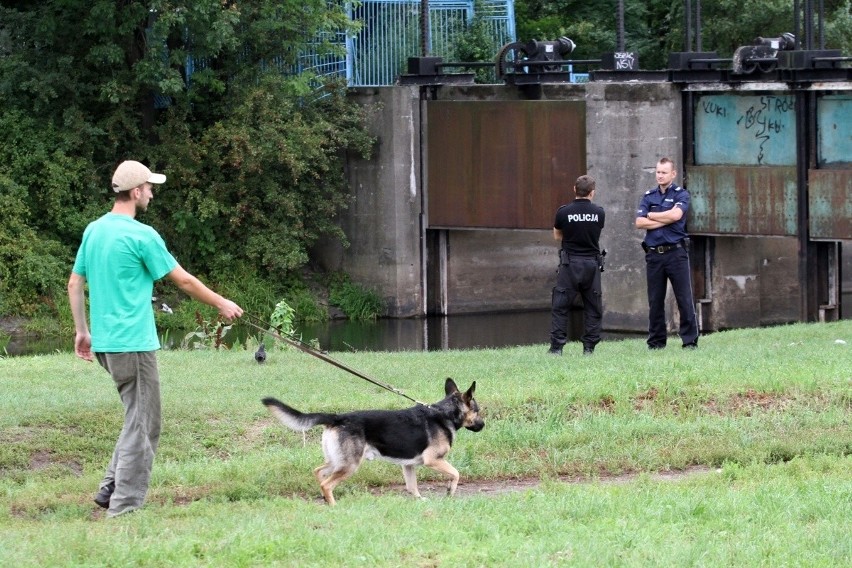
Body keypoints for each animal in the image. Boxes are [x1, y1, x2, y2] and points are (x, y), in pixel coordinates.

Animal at [262, 378, 482, 506]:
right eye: (478, 411)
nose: (483, 425)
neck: (444, 414)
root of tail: (337, 418)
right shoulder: (433, 460)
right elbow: (456, 473)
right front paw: (450, 490)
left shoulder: (409, 466)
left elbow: (412, 487)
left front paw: (420, 501)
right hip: (350, 464)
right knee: (326, 483)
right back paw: (333, 505)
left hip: (338, 460)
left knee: (319, 472)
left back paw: (325, 499)